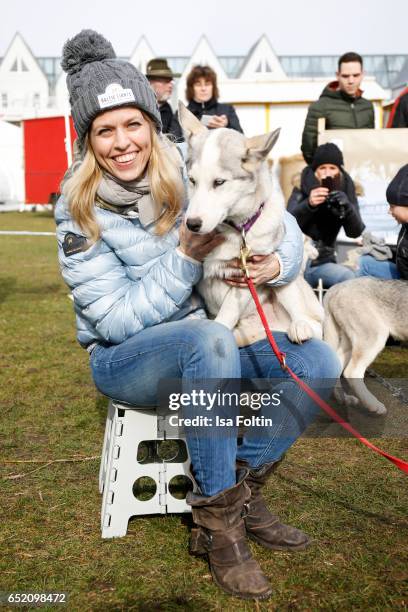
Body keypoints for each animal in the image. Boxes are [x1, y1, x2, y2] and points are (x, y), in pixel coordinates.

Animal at [180, 103, 324, 346]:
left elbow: (227, 312)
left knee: (315, 324)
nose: (192, 224)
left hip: (286, 284)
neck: (235, 230)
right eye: (192, 180)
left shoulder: (250, 275)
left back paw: (300, 327)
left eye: (219, 182)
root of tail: (273, 327)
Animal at [324, 278, 406, 416]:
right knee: (352, 372)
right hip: (374, 336)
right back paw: (373, 404)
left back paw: (343, 398)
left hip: (350, 343)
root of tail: (338, 286)